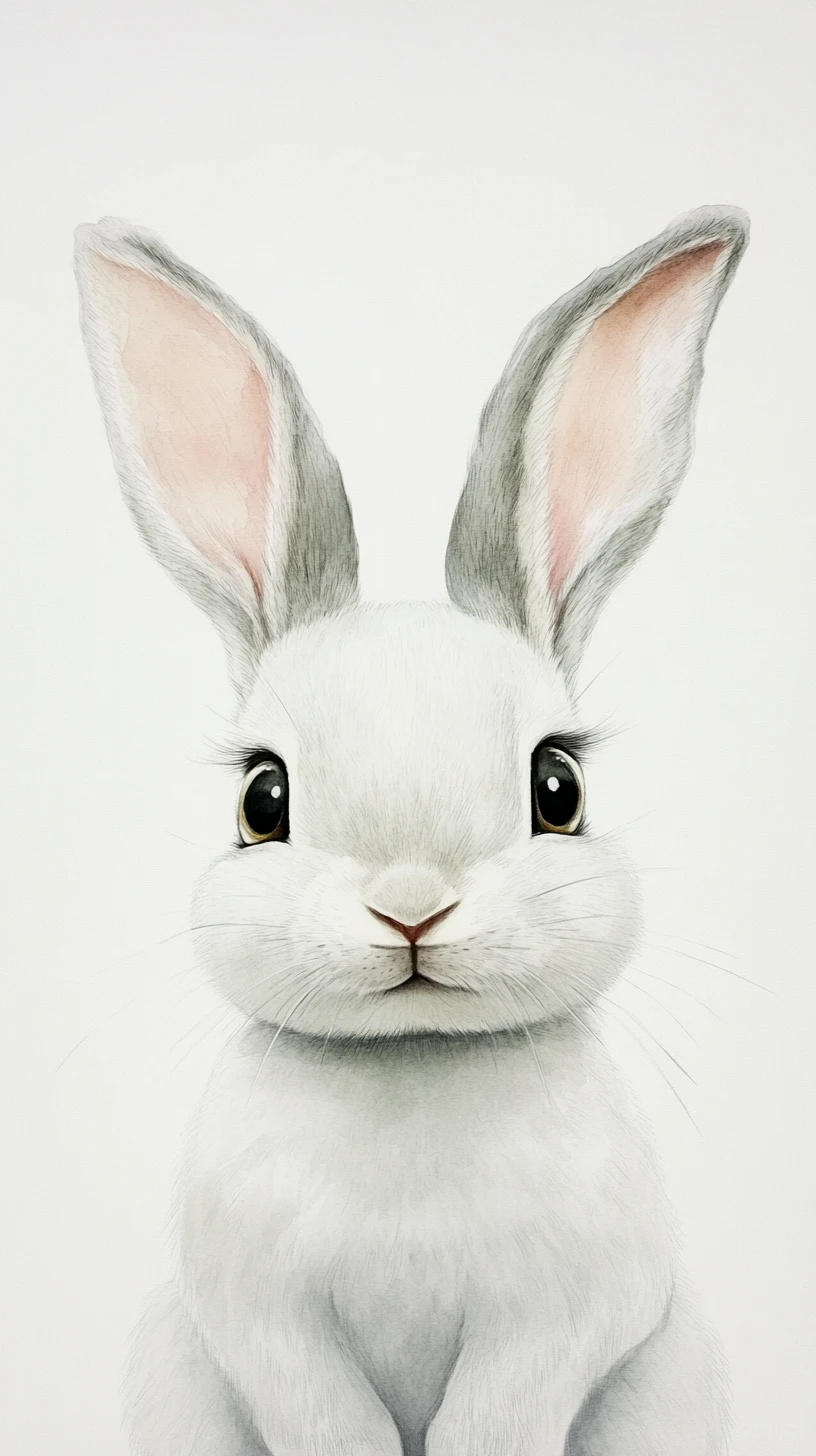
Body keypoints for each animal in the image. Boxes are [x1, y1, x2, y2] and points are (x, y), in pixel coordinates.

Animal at [75, 203, 748, 1456]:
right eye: (262, 800)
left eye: (557, 787)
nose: (411, 908)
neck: (413, 1062)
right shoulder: (268, 1326)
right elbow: (327, 1414)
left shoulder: (557, 1322)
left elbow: (497, 1413)